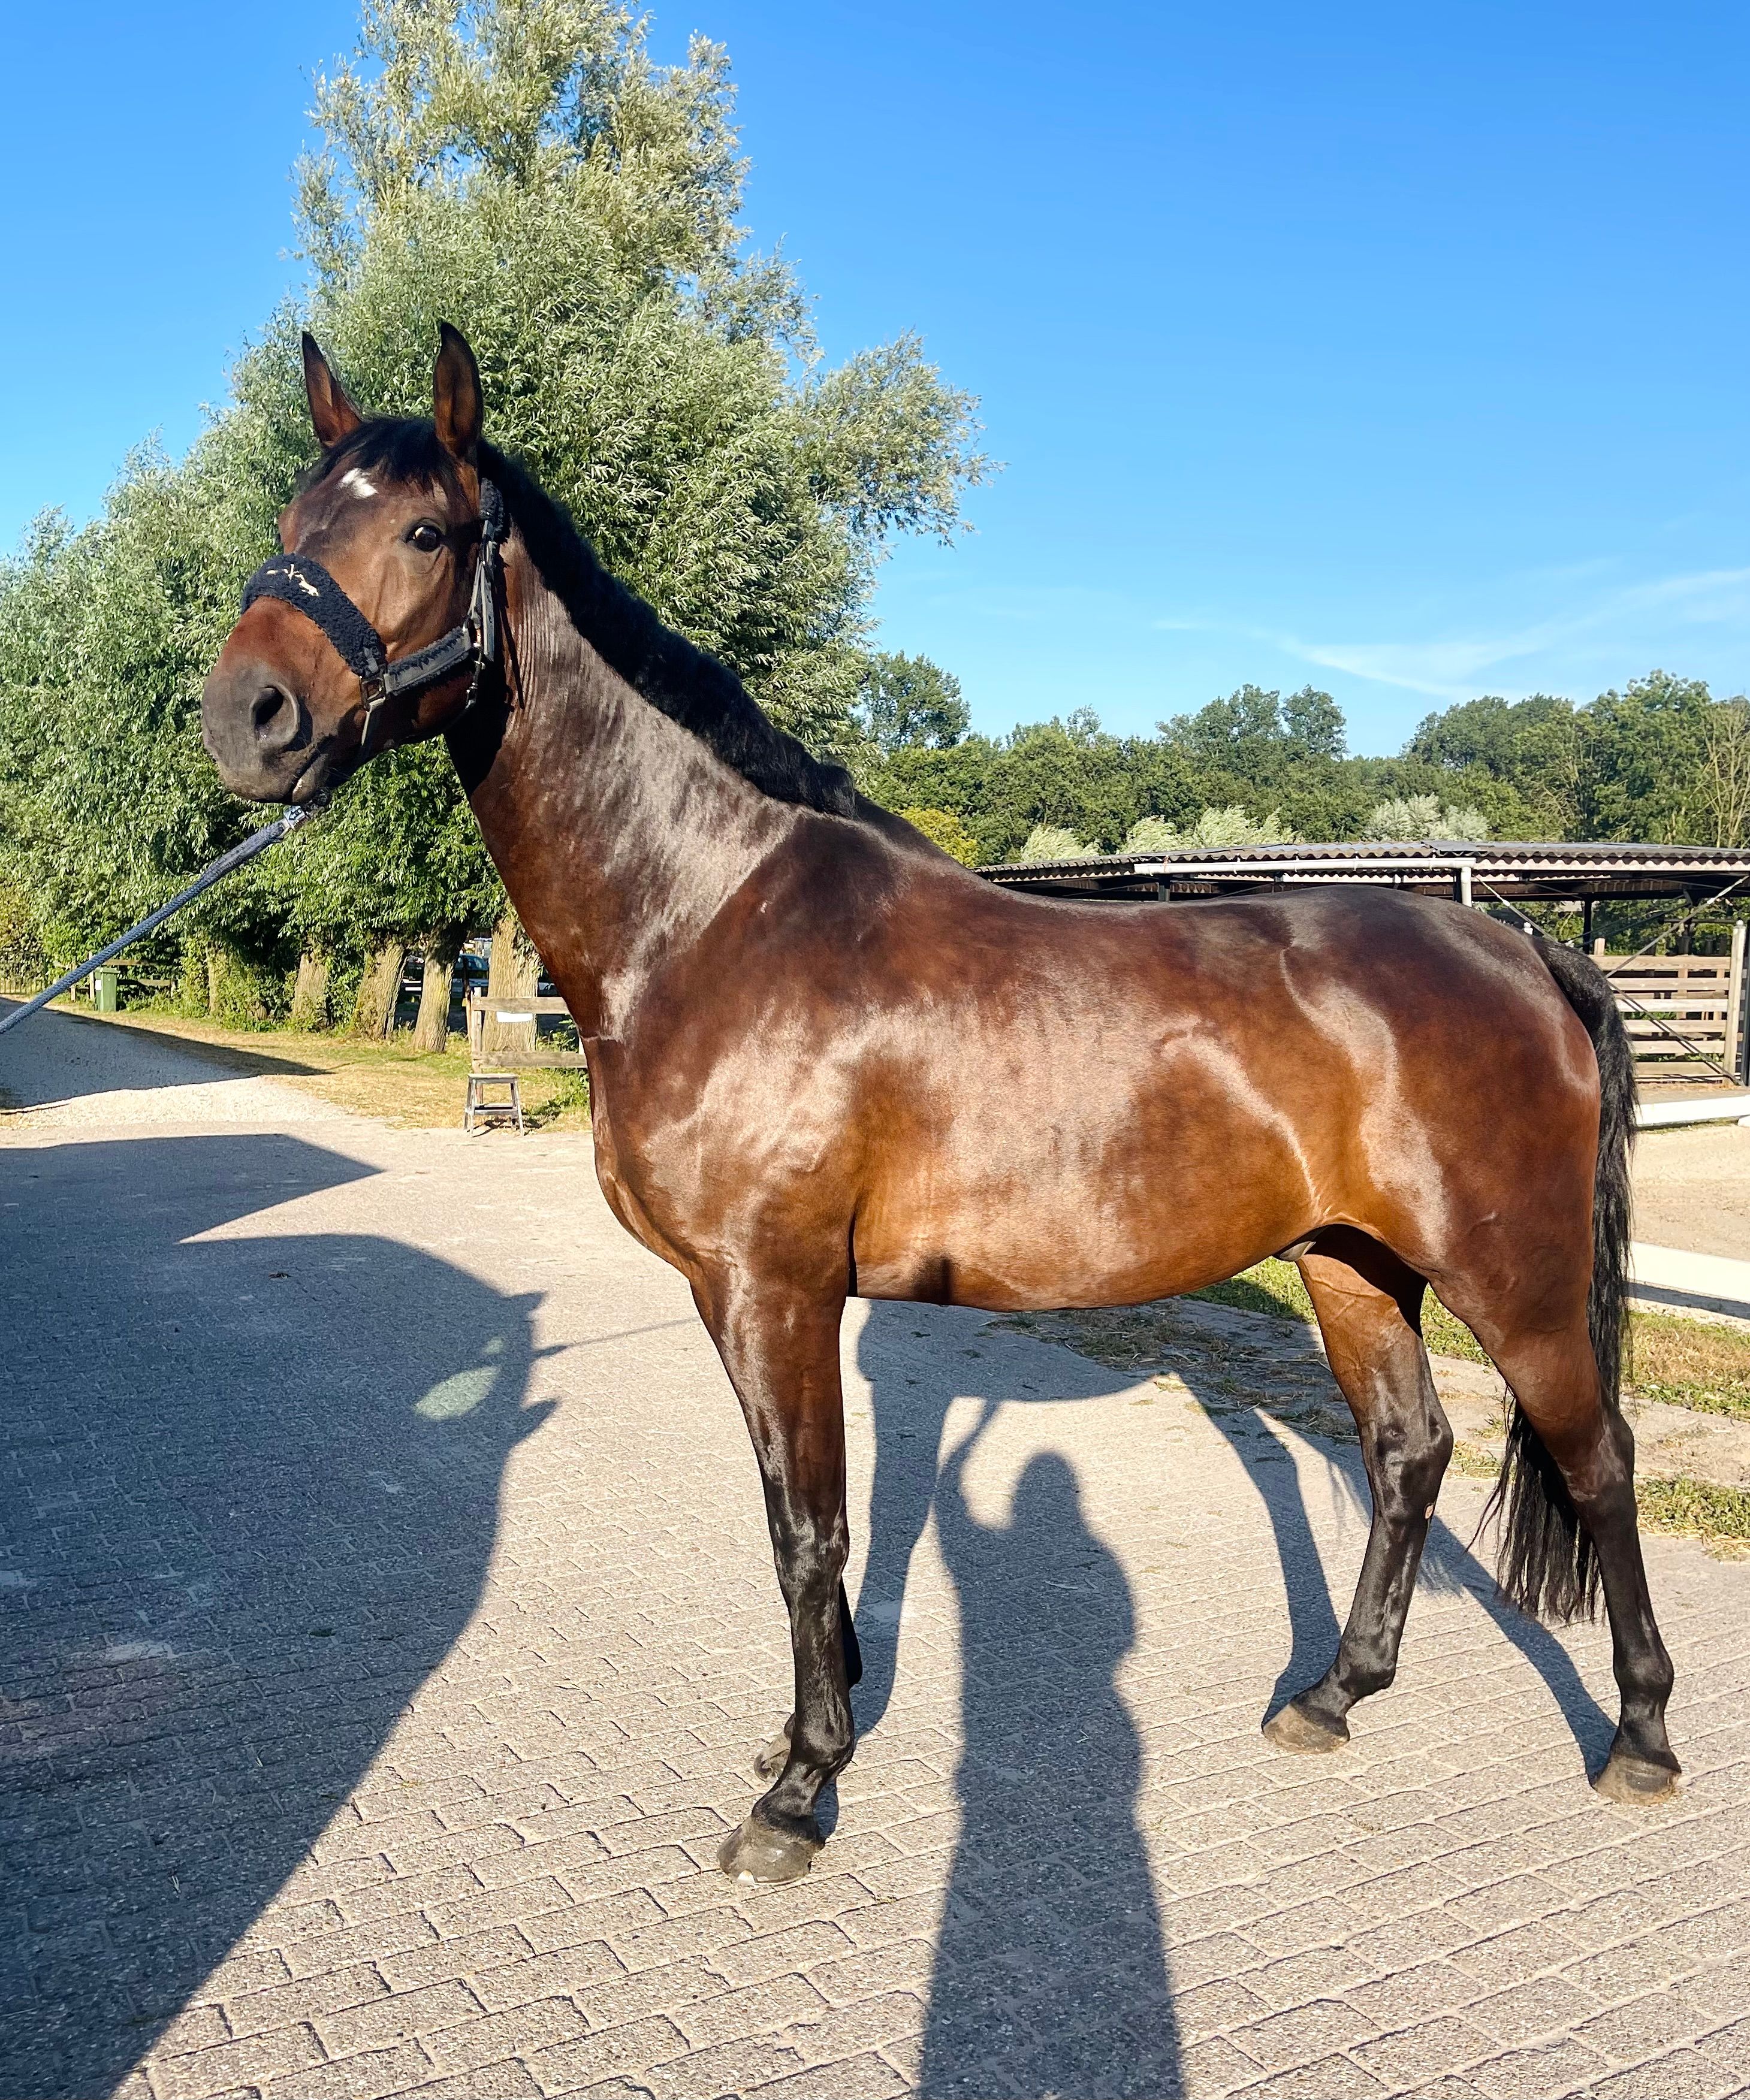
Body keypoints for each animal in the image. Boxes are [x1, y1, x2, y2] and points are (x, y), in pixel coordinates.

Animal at [200, 325, 1679, 1885]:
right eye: (293, 521)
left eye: (423, 532)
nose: (245, 718)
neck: (712, 916)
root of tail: (1517, 945)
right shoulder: (736, 1295)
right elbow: (802, 1520)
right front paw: (813, 1730)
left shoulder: (775, 1285)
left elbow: (808, 1528)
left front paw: (799, 1789)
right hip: (1351, 1261)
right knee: (1409, 1455)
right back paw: (1331, 1695)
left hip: (1511, 1279)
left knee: (1598, 1458)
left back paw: (1640, 1734)